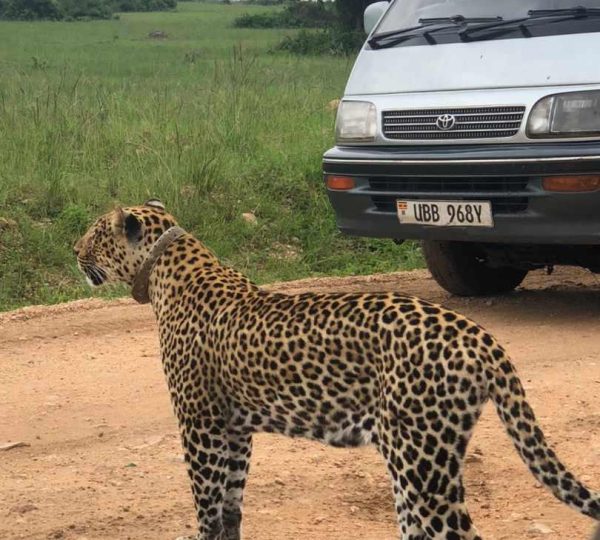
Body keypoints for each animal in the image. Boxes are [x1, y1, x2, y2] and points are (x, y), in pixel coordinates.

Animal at [74, 200, 600, 540]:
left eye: (95, 233)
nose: (73, 249)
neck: (164, 271)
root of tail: (478, 334)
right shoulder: (236, 429)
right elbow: (231, 509)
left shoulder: (199, 425)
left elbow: (206, 508)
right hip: (411, 462)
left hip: (422, 461)